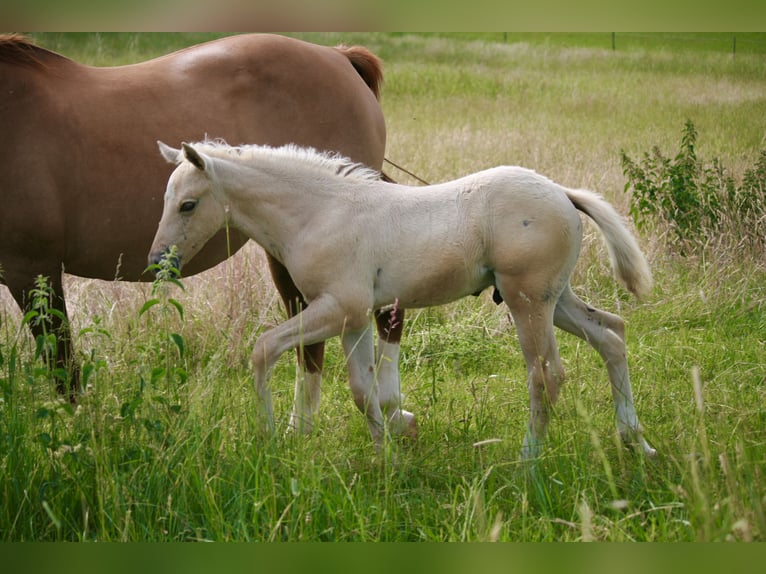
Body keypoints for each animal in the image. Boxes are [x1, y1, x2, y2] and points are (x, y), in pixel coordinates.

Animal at [149, 140, 656, 458]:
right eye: (166, 199)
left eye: (188, 204)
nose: (158, 262)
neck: (319, 212)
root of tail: (562, 194)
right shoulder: (353, 320)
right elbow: (361, 389)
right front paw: (386, 452)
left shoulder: (339, 308)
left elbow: (263, 350)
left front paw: (270, 436)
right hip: (557, 297)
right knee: (612, 335)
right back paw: (635, 440)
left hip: (527, 301)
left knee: (546, 374)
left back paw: (528, 459)